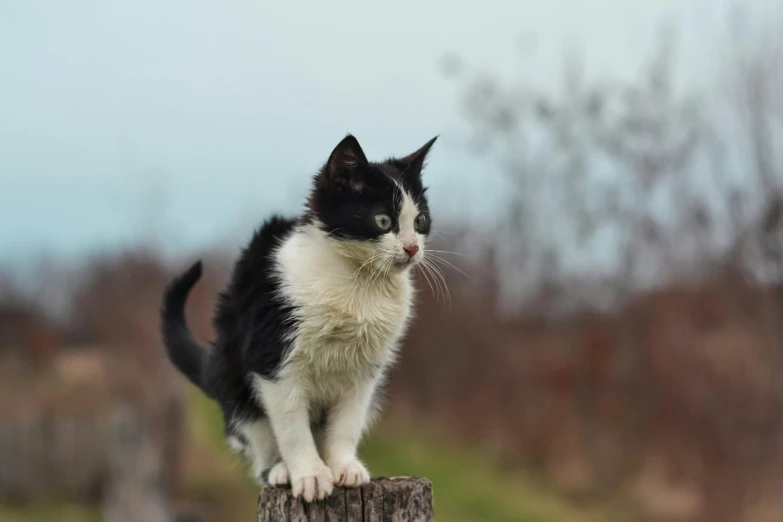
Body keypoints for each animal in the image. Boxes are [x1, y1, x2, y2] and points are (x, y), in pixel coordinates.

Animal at [162, 133, 438, 500]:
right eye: (383, 220)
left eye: (420, 221)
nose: (412, 248)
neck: (358, 283)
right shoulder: (273, 356)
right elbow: (292, 425)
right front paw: (310, 474)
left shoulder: (366, 370)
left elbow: (347, 421)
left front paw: (343, 465)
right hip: (234, 373)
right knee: (257, 434)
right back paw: (279, 469)